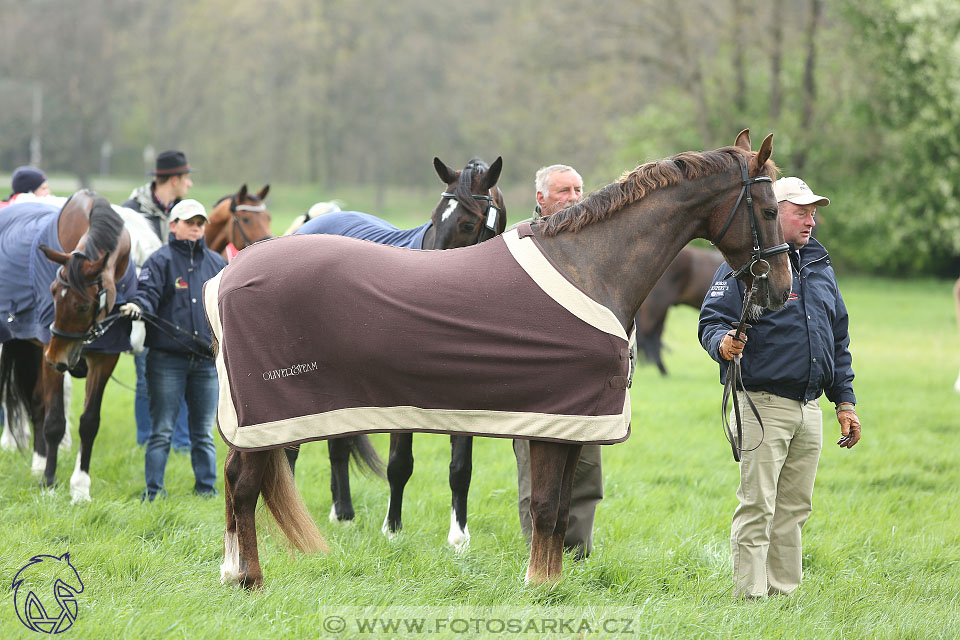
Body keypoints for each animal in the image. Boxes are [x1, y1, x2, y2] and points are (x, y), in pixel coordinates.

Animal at [0, 190, 136, 500]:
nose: (57, 357)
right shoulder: (50, 352)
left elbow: (90, 422)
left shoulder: (105, 357)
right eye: (51, 292)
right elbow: (54, 422)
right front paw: (49, 482)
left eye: (83, 306)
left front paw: (80, 487)